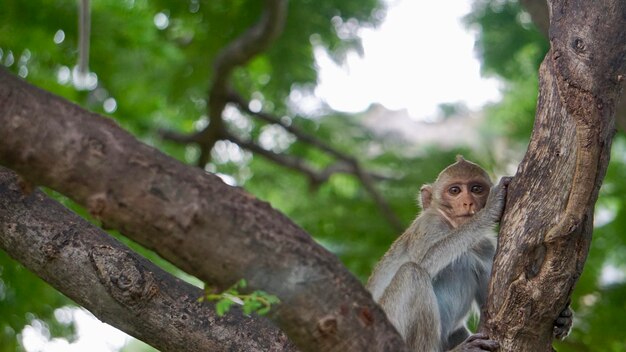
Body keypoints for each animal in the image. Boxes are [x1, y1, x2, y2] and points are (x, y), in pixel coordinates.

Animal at [366, 157, 572, 352]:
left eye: (476, 189)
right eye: (455, 190)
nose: (468, 202)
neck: (452, 225)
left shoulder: (486, 248)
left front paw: (564, 317)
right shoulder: (429, 225)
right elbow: (424, 261)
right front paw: (489, 210)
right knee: (411, 272)